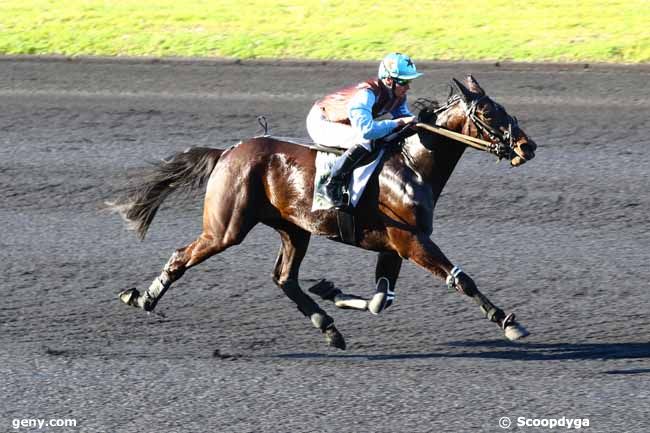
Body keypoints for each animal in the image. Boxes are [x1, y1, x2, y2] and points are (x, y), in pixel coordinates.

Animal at [111, 76, 536, 350]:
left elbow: (381, 300)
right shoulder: (412, 241)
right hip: (226, 227)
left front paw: (331, 291)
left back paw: (328, 327)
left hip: (294, 228)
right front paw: (508, 323)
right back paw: (143, 299)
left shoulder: (394, 246)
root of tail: (227, 152)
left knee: (285, 278)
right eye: (487, 113)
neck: (412, 165)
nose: (527, 146)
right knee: (181, 256)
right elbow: (461, 279)